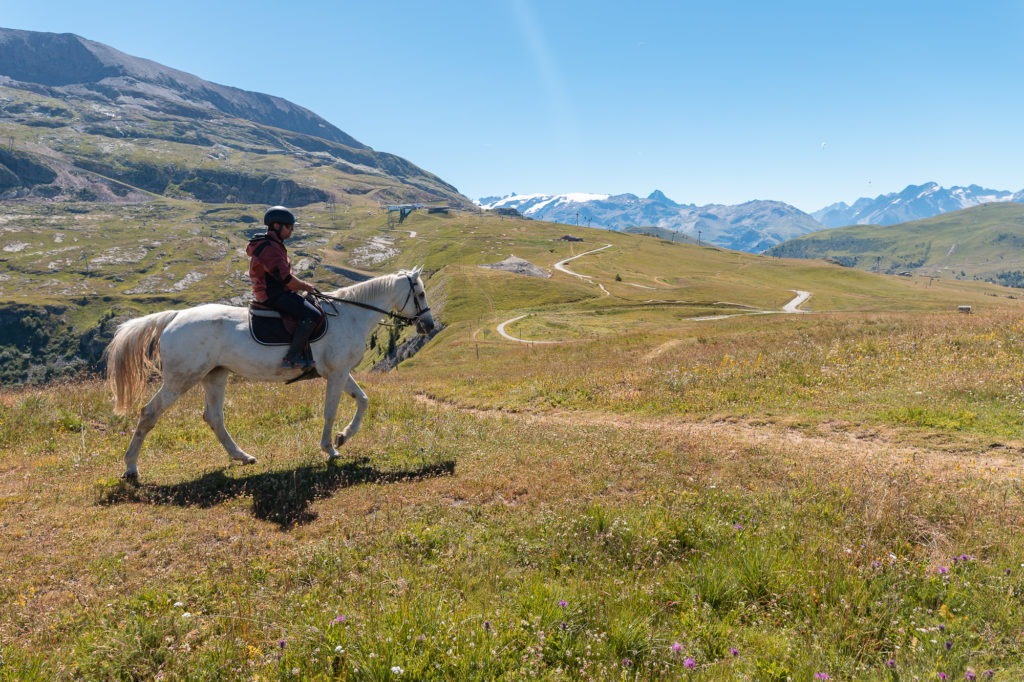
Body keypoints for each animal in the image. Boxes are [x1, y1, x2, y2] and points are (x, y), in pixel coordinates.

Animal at [105, 266, 434, 477]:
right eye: (419, 293)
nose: (429, 325)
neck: (351, 315)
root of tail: (175, 317)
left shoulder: (338, 372)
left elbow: (363, 401)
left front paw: (343, 437)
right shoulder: (337, 373)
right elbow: (330, 411)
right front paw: (330, 448)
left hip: (215, 375)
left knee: (214, 418)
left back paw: (242, 456)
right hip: (181, 379)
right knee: (150, 413)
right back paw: (131, 467)